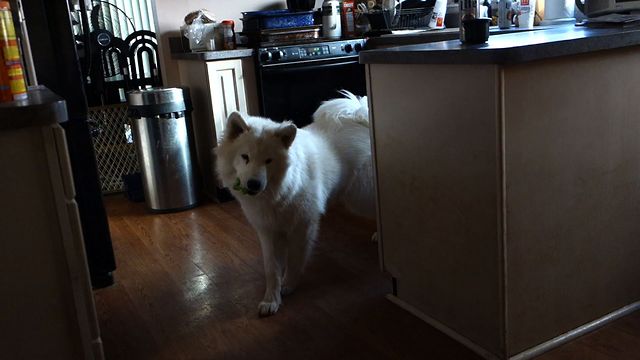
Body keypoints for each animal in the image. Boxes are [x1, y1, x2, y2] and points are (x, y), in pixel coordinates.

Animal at [215, 91, 376, 316]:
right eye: (245, 157)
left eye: (269, 160)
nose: (254, 184)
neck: (279, 192)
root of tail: (361, 118)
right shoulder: (268, 231)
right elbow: (271, 269)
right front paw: (271, 300)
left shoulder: (303, 225)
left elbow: (295, 258)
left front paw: (289, 284)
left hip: (360, 195)